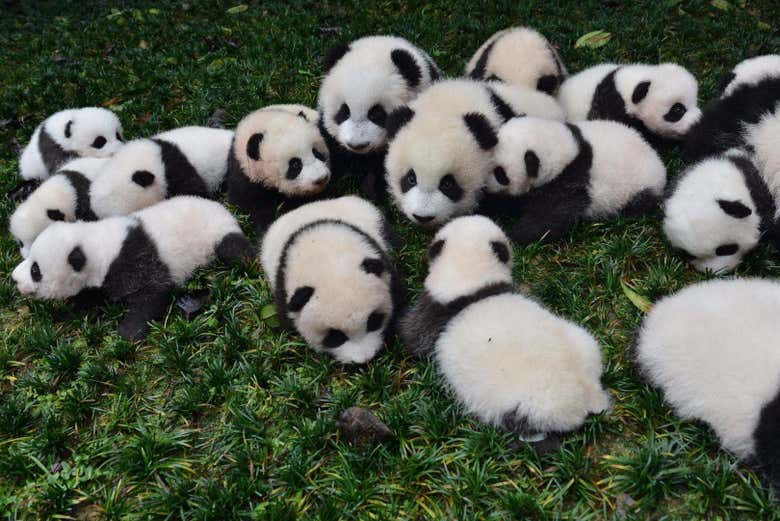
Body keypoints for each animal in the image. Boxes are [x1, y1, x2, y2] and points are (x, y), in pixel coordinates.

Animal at [11, 196, 252, 340]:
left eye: (35, 270)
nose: (15, 278)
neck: (97, 247)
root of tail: (224, 210)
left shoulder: (135, 259)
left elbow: (153, 292)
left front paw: (127, 332)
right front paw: (77, 306)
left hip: (216, 233)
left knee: (233, 249)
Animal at [399, 216, 610, 447]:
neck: (474, 283)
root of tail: (588, 396)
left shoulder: (434, 310)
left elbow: (412, 335)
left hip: (529, 404)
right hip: (583, 343)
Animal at [487, 117, 666, 245]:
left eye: (499, 173)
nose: (485, 186)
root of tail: (659, 165)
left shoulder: (571, 181)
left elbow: (550, 217)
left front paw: (512, 235)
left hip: (638, 188)